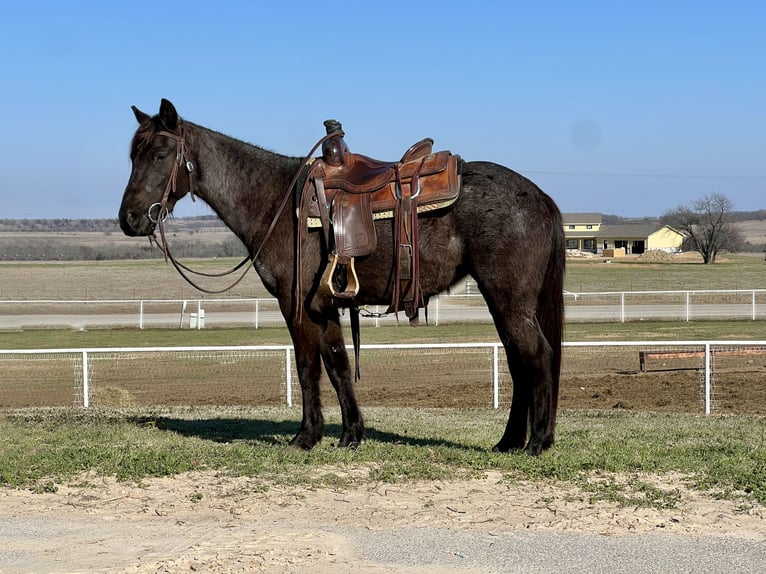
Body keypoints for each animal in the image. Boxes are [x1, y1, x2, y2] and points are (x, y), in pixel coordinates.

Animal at [118, 100, 564, 460]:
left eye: (160, 154)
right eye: (133, 156)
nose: (129, 219)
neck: (276, 202)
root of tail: (539, 196)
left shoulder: (295, 305)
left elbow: (307, 367)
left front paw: (305, 437)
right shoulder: (325, 306)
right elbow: (337, 364)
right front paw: (350, 434)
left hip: (507, 298)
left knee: (536, 355)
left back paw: (536, 442)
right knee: (518, 360)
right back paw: (508, 442)